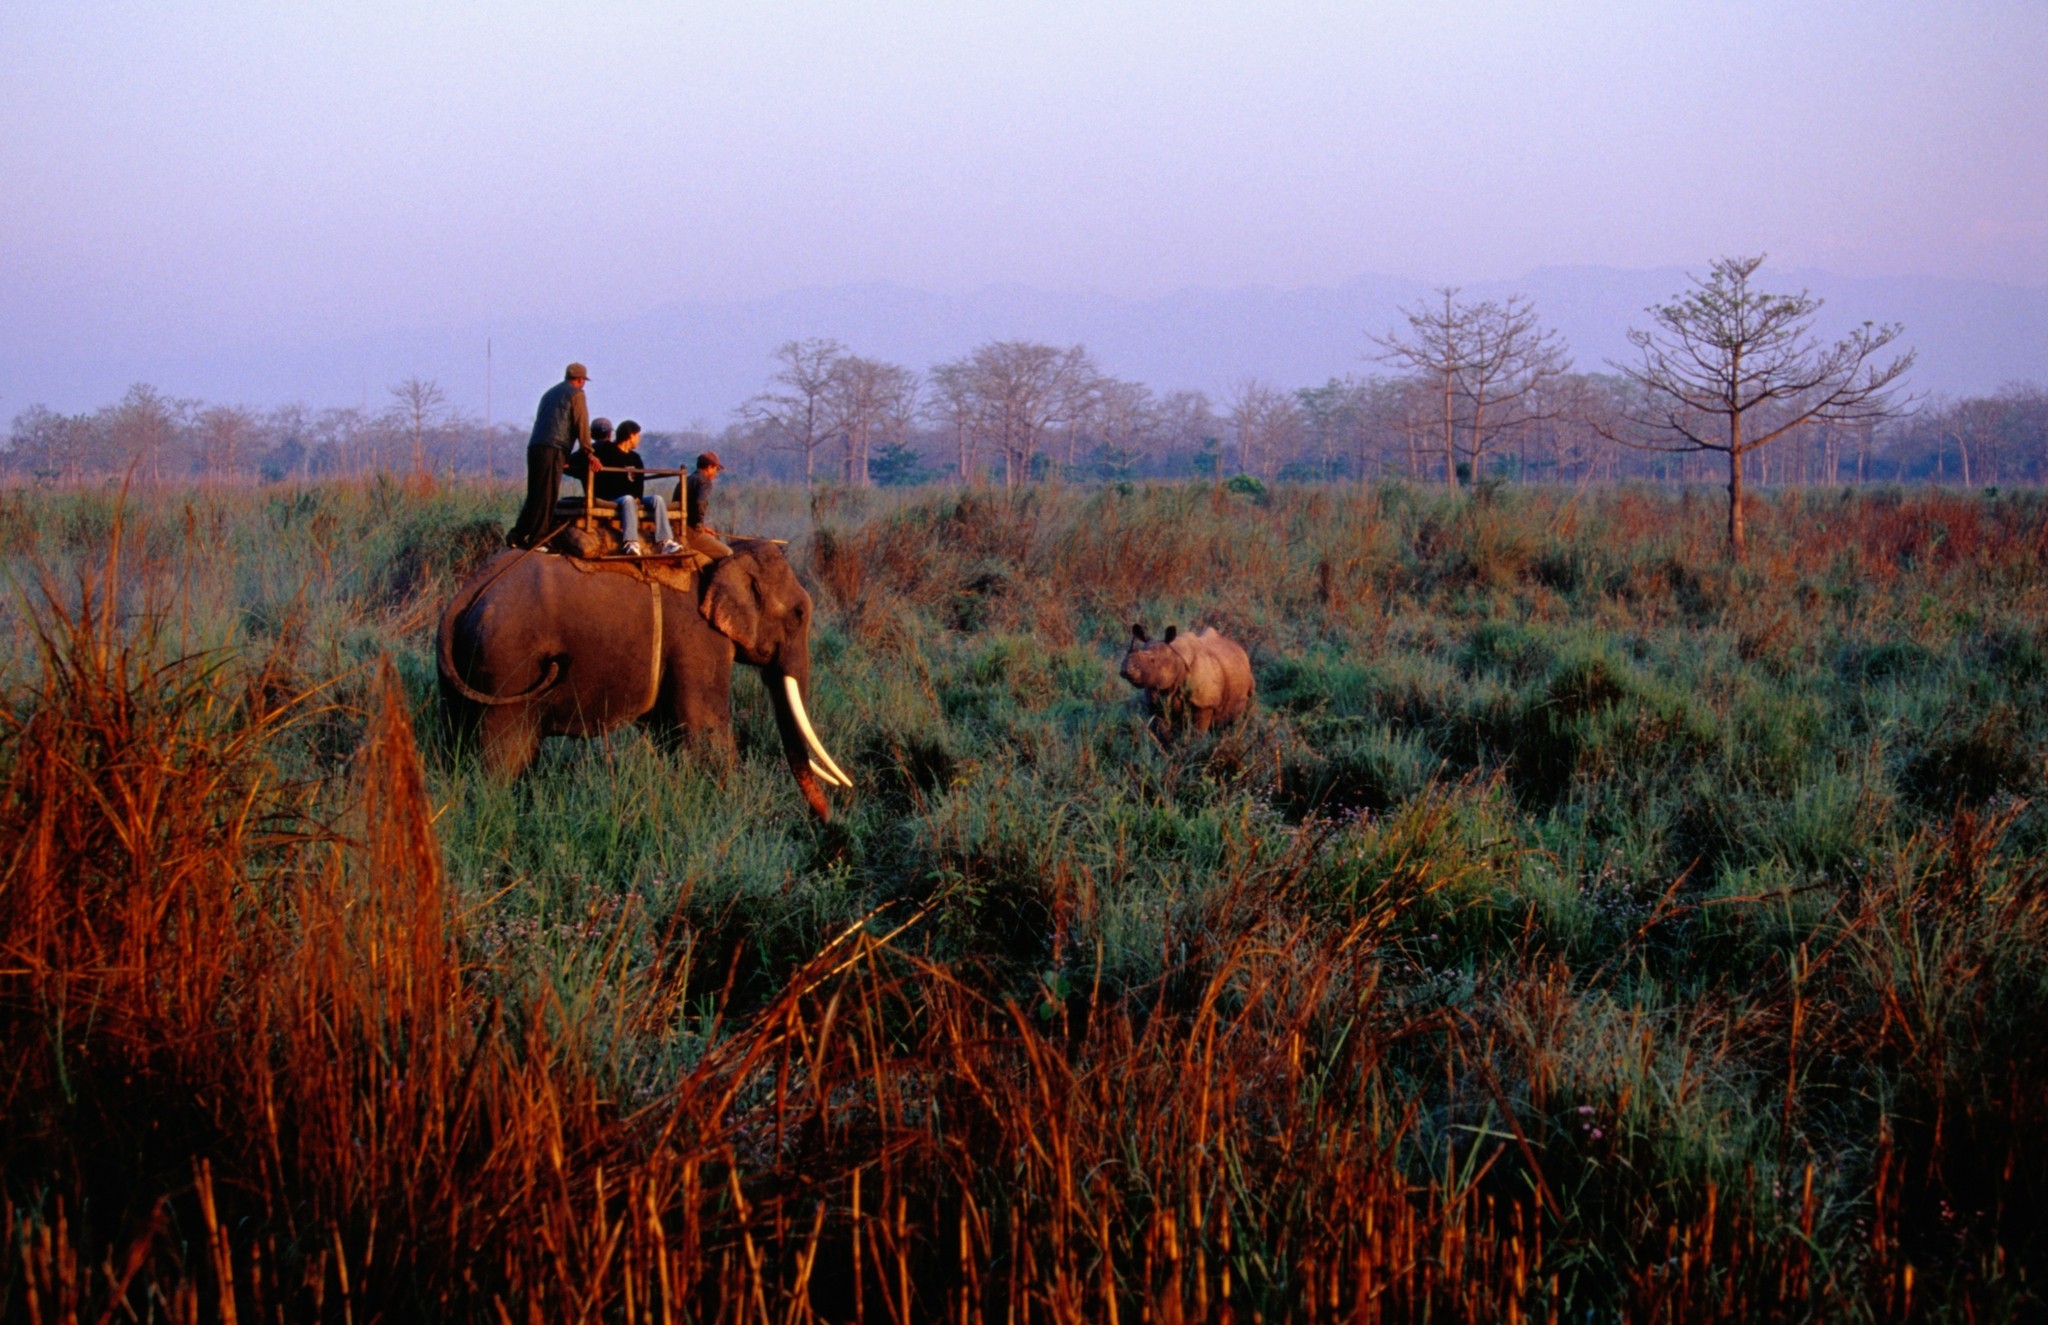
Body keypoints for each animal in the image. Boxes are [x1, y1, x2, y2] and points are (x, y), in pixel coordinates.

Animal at [436, 540, 851, 819]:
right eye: (799, 614)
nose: (828, 821)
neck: (728, 549)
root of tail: (463, 596)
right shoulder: (699, 637)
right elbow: (704, 729)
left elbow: (668, 730)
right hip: (507, 664)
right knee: (506, 757)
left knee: (457, 743)